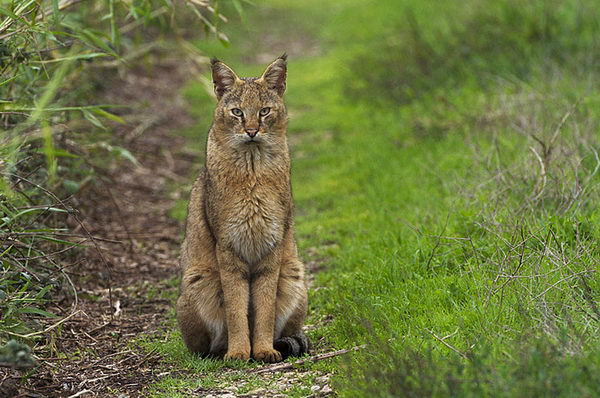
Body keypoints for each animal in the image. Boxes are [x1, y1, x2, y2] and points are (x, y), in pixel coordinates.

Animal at [177, 54, 310, 362]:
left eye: (264, 111)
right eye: (237, 112)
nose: (251, 131)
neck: (252, 167)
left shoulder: (272, 246)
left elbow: (264, 308)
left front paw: (262, 349)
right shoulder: (228, 247)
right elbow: (236, 307)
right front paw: (239, 351)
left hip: (293, 272)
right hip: (198, 278)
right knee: (204, 346)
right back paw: (222, 349)